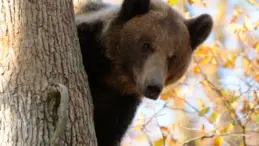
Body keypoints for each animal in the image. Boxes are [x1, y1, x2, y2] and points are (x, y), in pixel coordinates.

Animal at [75, 0, 213, 145]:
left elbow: (106, 133)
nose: (153, 87)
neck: (114, 76)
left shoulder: (121, 105)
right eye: (146, 45)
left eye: (173, 56)